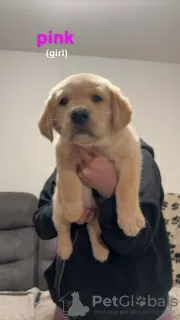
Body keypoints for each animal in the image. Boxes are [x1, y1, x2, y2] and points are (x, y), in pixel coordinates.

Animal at [38, 74, 145, 262]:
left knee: (93, 229)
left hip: (96, 216)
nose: (78, 114)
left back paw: (101, 251)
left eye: (96, 98)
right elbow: (69, 180)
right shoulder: (63, 153)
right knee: (63, 229)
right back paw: (64, 250)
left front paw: (130, 219)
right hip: (57, 210)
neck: (94, 146)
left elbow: (126, 187)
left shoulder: (131, 155)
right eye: (63, 101)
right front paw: (73, 209)